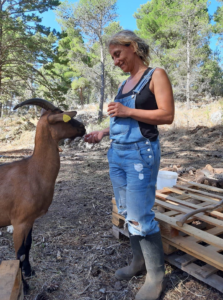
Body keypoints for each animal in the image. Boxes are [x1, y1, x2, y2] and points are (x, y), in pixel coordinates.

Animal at [0, 99, 85, 292]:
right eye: (64, 117)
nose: (83, 127)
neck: (33, 171)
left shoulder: (30, 220)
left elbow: (28, 246)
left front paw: (29, 271)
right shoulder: (19, 222)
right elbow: (19, 254)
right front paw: (24, 286)